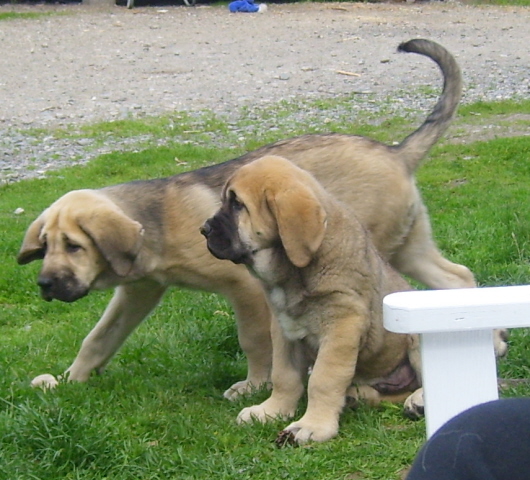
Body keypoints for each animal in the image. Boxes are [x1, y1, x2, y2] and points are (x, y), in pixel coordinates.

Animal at [18, 38, 498, 398]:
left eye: (74, 246)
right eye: (45, 247)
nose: (44, 284)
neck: (155, 225)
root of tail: (397, 152)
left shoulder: (244, 287)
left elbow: (253, 341)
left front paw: (254, 386)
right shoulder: (138, 292)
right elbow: (98, 338)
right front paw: (69, 379)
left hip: (372, 249)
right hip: (408, 243)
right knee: (457, 277)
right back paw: (492, 343)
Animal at [201, 156, 420, 444]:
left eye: (238, 204)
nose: (203, 229)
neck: (293, 272)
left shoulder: (342, 326)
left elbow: (323, 379)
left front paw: (313, 425)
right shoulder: (285, 329)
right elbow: (284, 375)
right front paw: (271, 411)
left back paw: (417, 401)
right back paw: (357, 396)